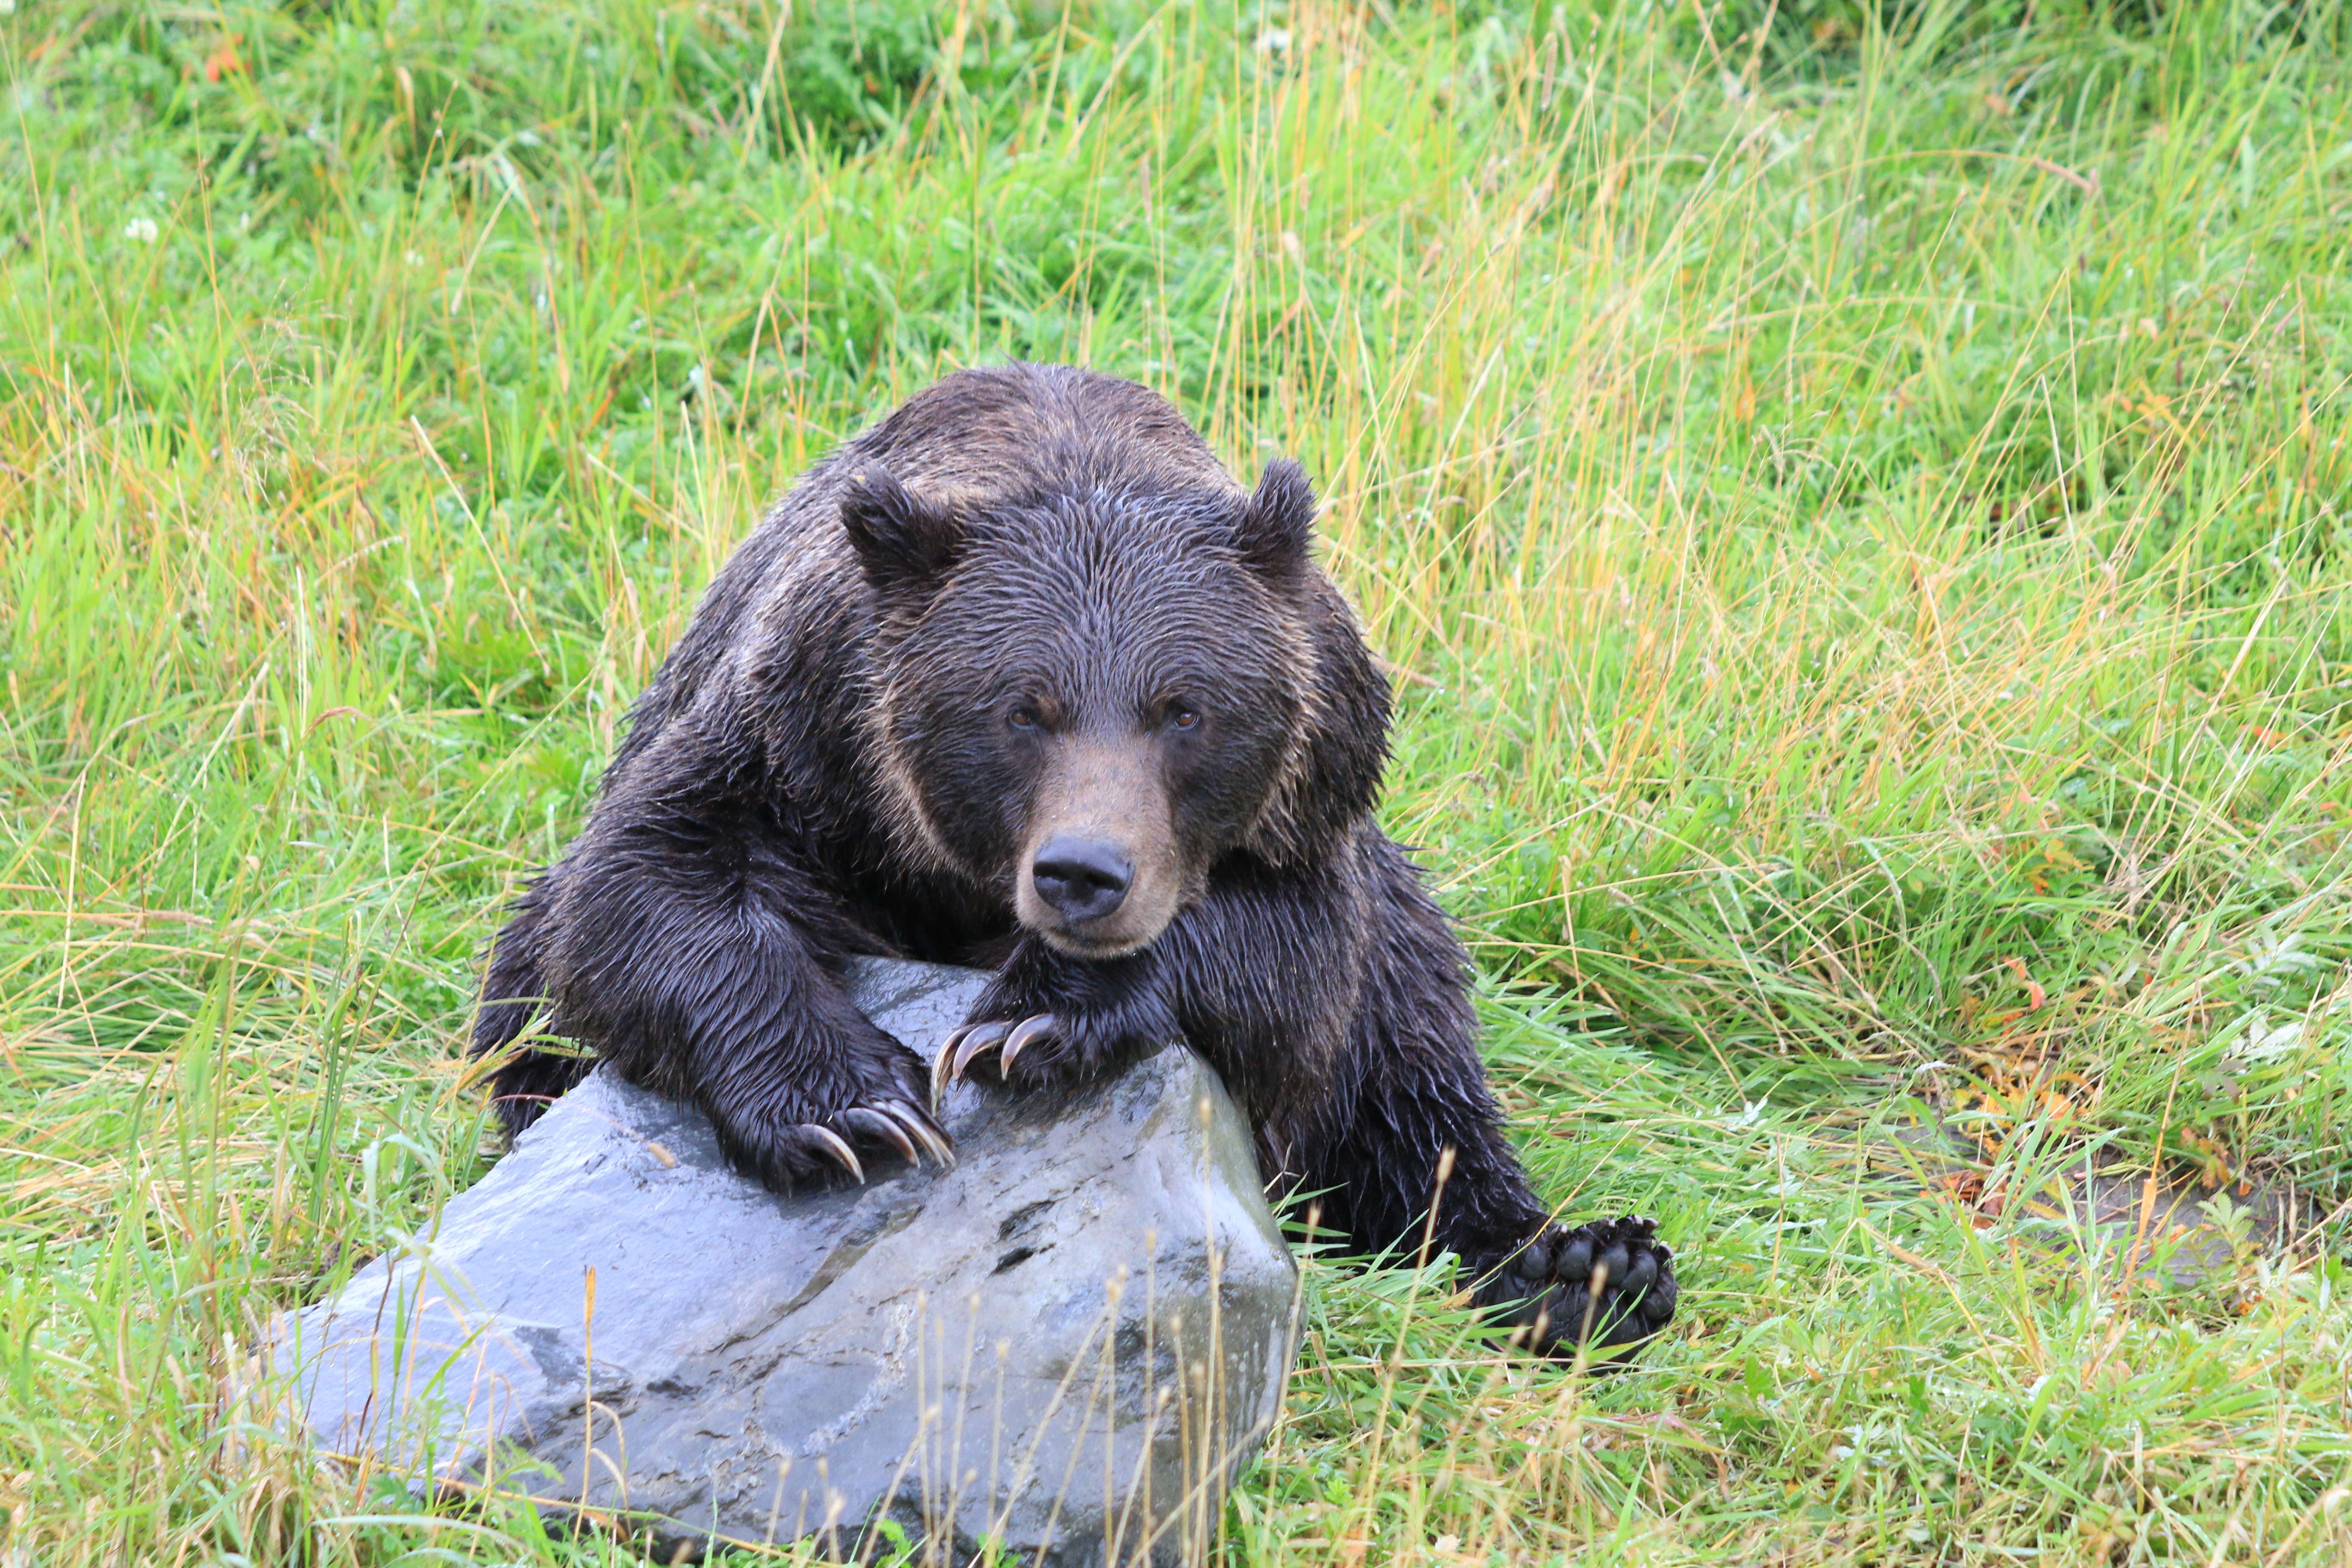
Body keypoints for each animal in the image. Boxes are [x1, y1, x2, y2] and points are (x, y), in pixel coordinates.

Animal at [471, 363, 1677, 1357]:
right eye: (1023, 707)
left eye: (1182, 708)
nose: (1083, 874)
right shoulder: (796, 746)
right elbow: (643, 890)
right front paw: (852, 1112)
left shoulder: (1313, 804)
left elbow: (1293, 968)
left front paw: (1033, 1019)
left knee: (1416, 1073)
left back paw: (1585, 1265)